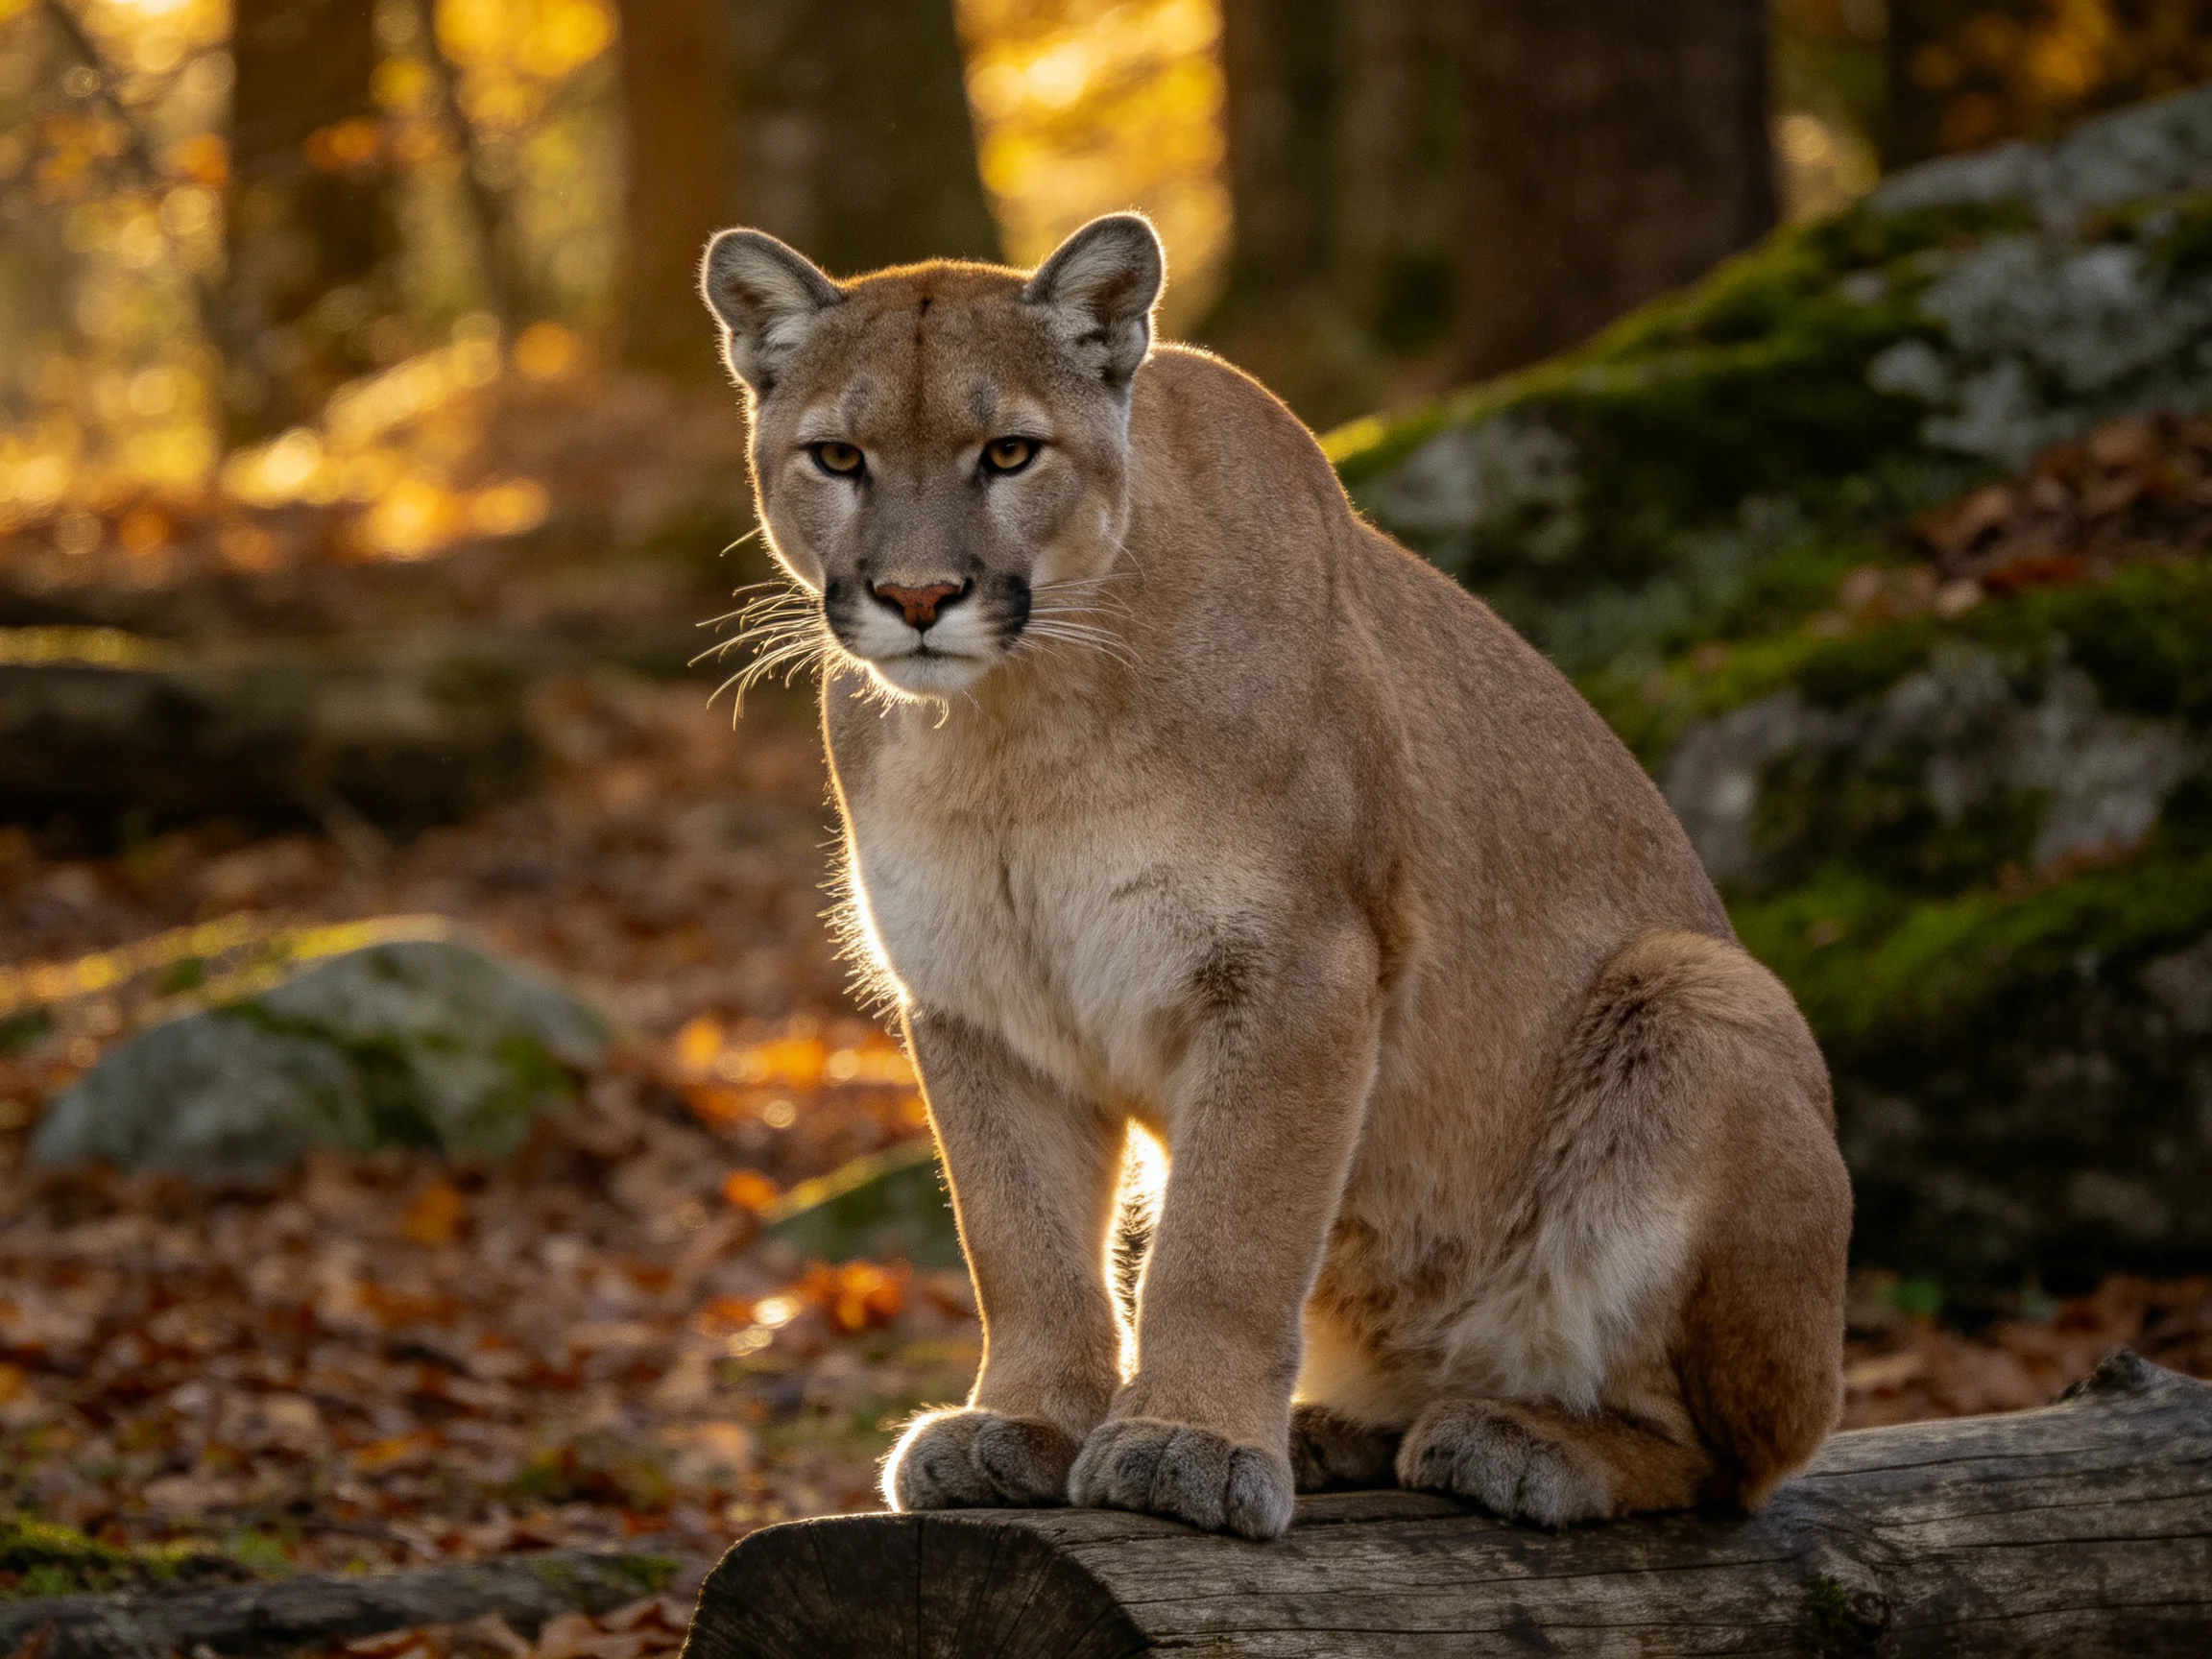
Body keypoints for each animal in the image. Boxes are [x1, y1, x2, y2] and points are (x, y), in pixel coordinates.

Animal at [697, 213, 1850, 1541]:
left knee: (1736, 1460)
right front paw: (1027, 1422)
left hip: (1703, 992)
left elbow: (1229, 1234)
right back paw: (1347, 1427)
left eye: (1009, 452)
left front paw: (1186, 1443)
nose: (919, 596)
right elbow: (1018, 1239)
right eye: (838, 456)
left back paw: (1521, 1442)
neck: (1012, 732)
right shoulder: (976, 998)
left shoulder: (1298, 966)